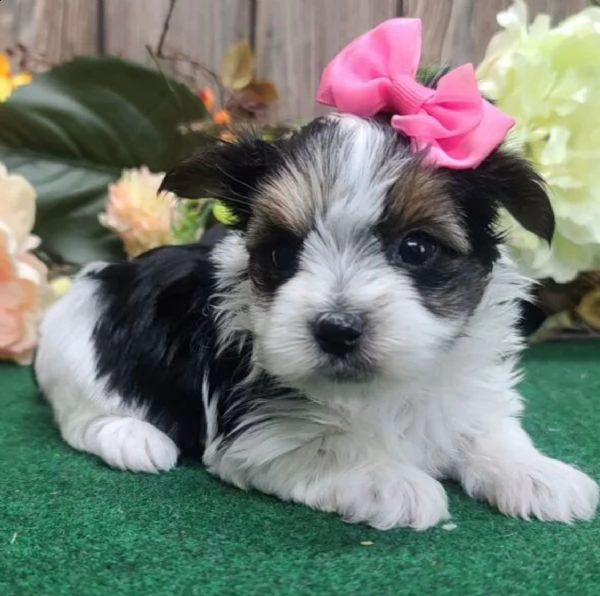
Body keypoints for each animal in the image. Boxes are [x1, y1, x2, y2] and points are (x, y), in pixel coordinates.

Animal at [34, 113, 600, 532]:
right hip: (75, 359)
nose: (337, 328)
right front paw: (391, 480)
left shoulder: (465, 388)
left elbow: (487, 430)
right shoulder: (257, 430)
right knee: (81, 418)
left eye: (417, 248)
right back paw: (134, 439)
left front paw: (537, 474)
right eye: (282, 253)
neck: (385, 389)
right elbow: (326, 444)